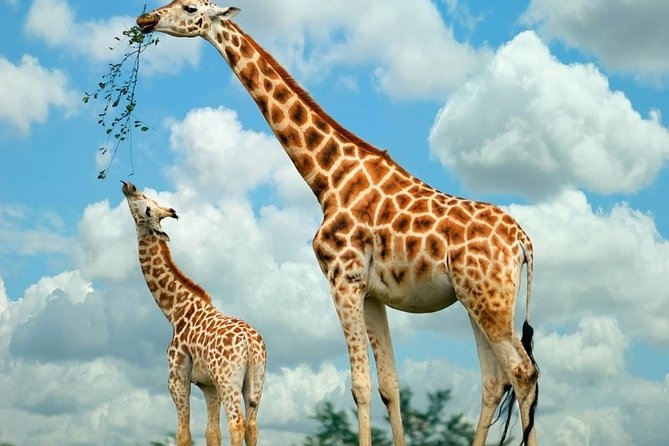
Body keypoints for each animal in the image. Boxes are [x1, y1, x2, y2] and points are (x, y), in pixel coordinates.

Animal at [121, 181, 266, 446]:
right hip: (255, 381)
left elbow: (183, 434)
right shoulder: (209, 386)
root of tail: (251, 344)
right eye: (150, 201)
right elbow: (212, 433)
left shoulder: (177, 379)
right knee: (252, 425)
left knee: (236, 423)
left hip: (228, 380)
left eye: (147, 207)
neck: (175, 310)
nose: (129, 186)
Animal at [136, 3, 539, 445]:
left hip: (489, 300)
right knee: (494, 381)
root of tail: (522, 241)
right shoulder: (373, 293)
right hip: (477, 300)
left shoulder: (342, 279)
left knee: (523, 372)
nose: (146, 20)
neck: (327, 178)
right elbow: (389, 386)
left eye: (189, 7)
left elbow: (360, 385)